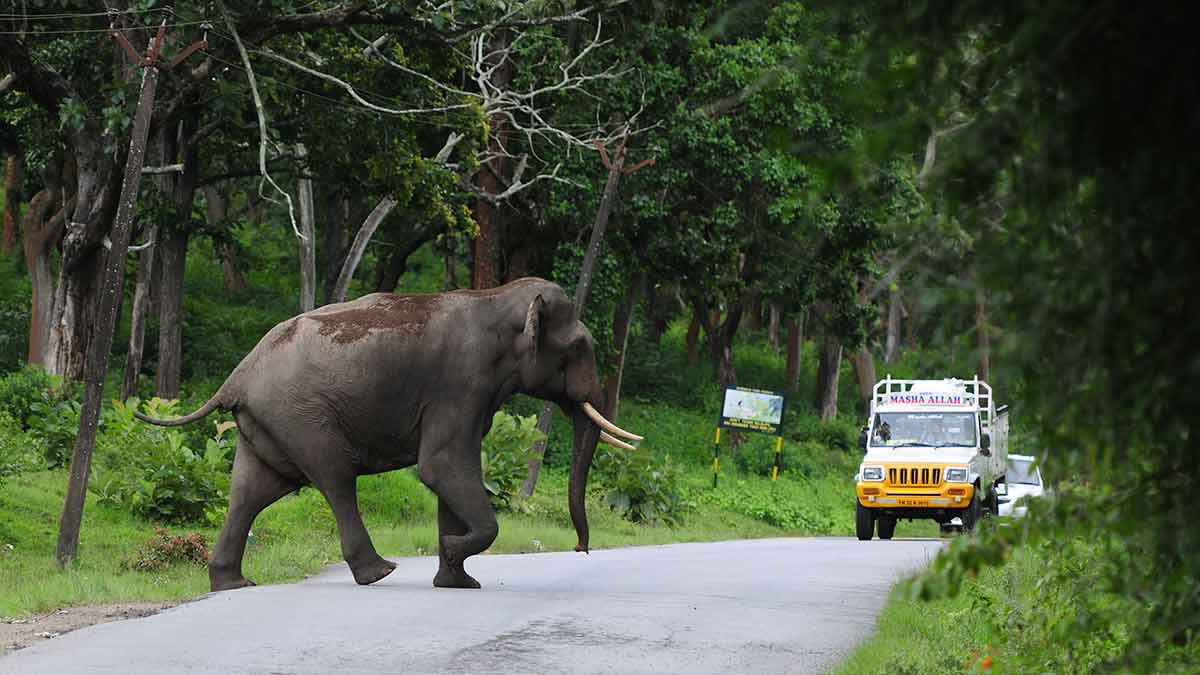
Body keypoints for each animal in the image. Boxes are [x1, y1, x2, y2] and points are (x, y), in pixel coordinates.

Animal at [135, 277, 642, 592]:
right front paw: (455, 554)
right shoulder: (460, 383)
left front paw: (458, 580)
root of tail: (235, 377)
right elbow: (441, 467)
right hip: (302, 416)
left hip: (269, 424)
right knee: (335, 479)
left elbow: (450, 473)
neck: (497, 297)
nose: (580, 548)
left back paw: (233, 583)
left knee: (252, 491)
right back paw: (379, 572)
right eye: (578, 347)